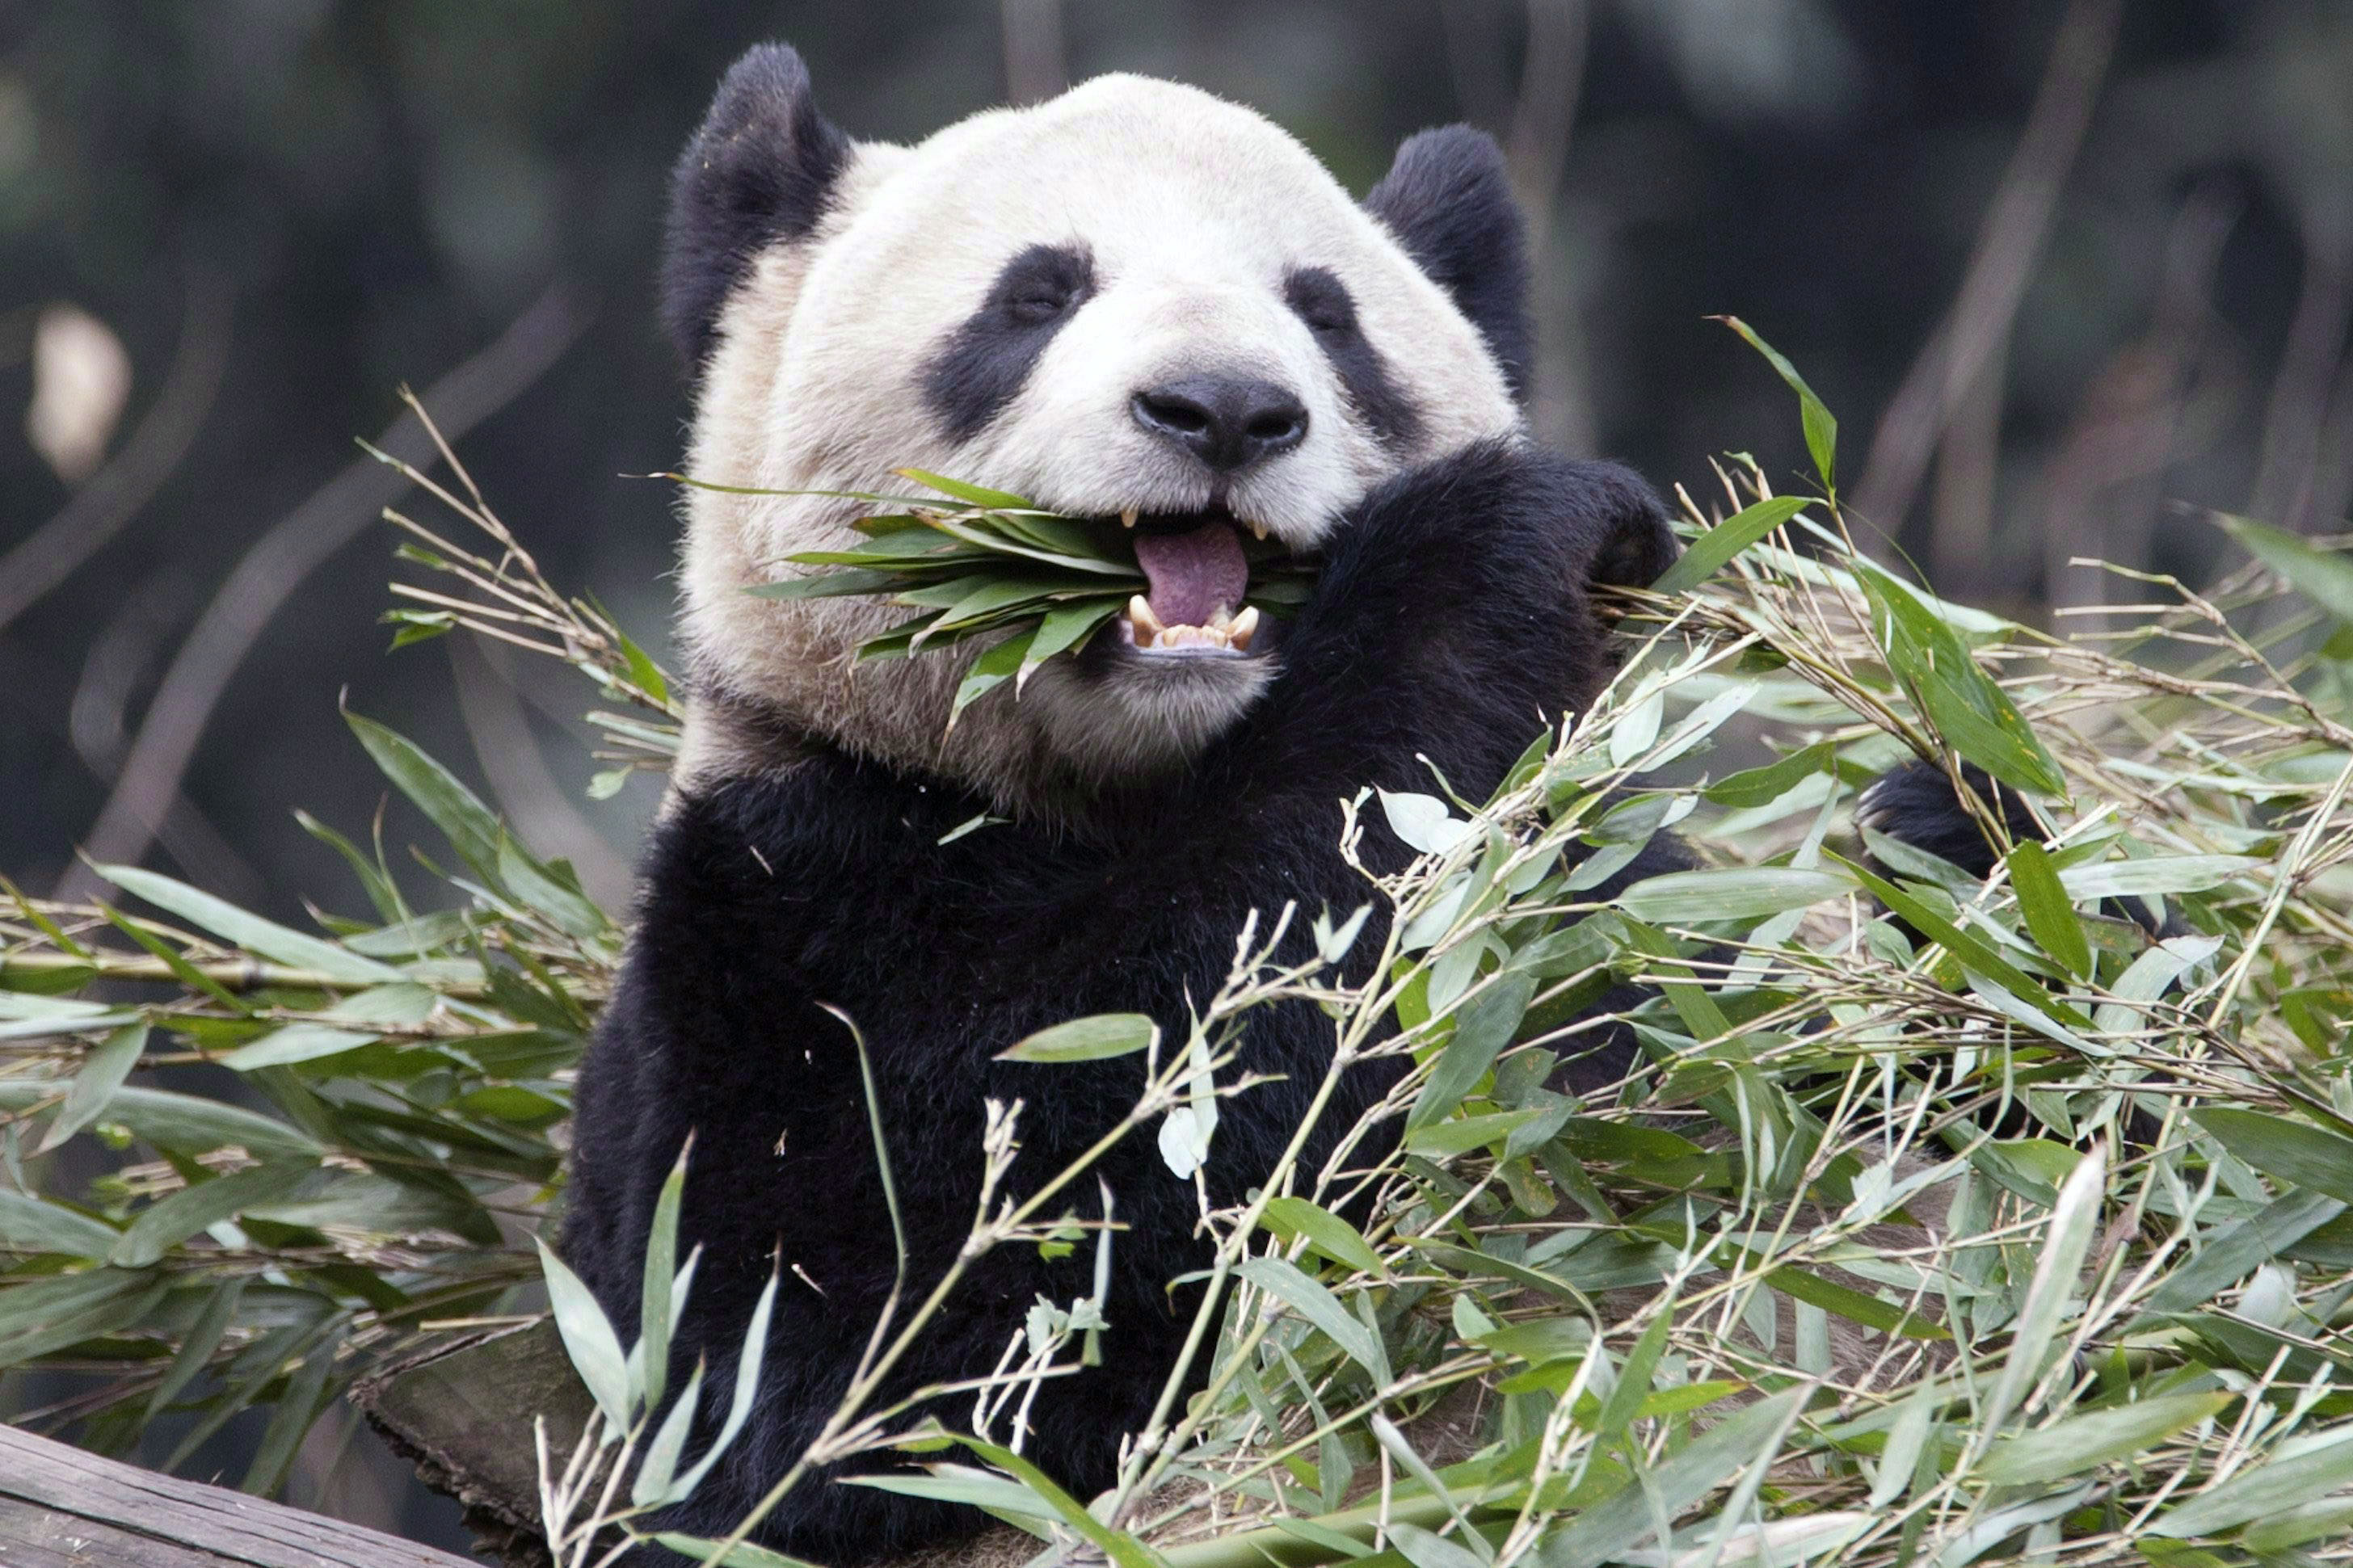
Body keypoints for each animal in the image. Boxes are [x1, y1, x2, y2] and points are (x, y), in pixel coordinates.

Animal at [560, 43, 1938, 1561]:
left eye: (1326, 315)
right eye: (1036, 294)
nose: (1223, 409)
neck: (1136, 776)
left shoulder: (1609, 904)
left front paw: (1937, 841)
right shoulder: (784, 906)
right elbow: (886, 1325)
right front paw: (1496, 539)